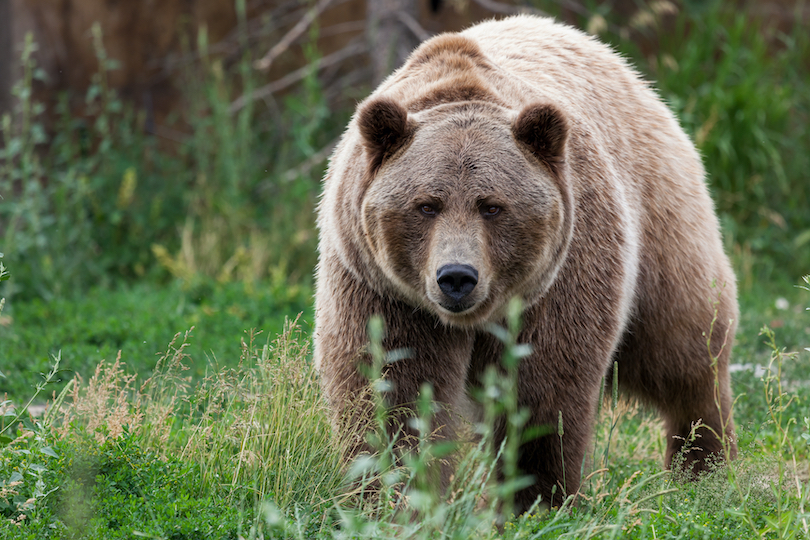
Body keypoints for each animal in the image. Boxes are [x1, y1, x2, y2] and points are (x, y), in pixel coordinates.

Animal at [312, 12, 736, 510]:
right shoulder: (384, 290)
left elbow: (542, 388)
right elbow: (393, 390)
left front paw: (537, 496)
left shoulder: (561, 276)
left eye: (492, 206)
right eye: (427, 205)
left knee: (686, 348)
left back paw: (704, 467)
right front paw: (390, 497)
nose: (457, 277)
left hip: (662, 225)